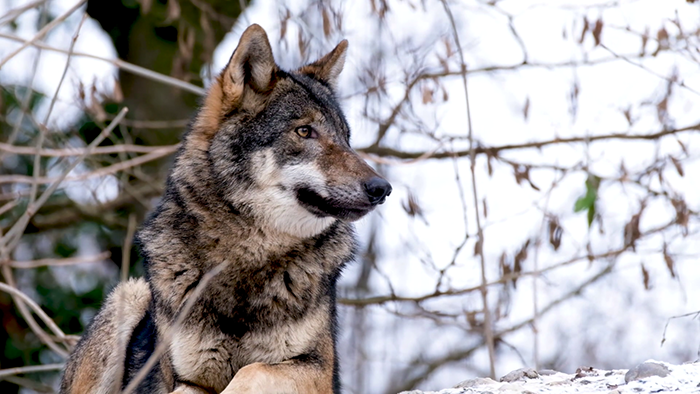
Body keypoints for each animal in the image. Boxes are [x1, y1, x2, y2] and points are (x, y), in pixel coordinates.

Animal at [57, 24, 392, 394]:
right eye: (305, 131)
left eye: (346, 138)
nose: (382, 189)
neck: (248, 257)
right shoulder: (186, 378)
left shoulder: (317, 371)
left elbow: (250, 372)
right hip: (129, 296)